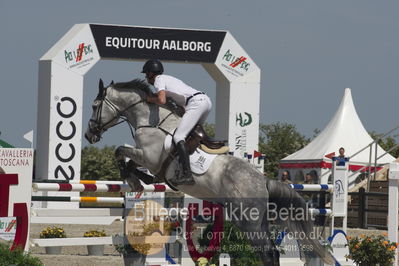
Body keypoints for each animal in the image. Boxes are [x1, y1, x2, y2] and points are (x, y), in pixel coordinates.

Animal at [86, 79, 336, 266]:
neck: (150, 122)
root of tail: (262, 181)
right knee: (271, 252)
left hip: (248, 222)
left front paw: (136, 181)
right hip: (258, 222)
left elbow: (121, 152)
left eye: (95, 105)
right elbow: (125, 157)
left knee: (268, 252)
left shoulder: (149, 157)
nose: (90, 134)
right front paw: (140, 180)